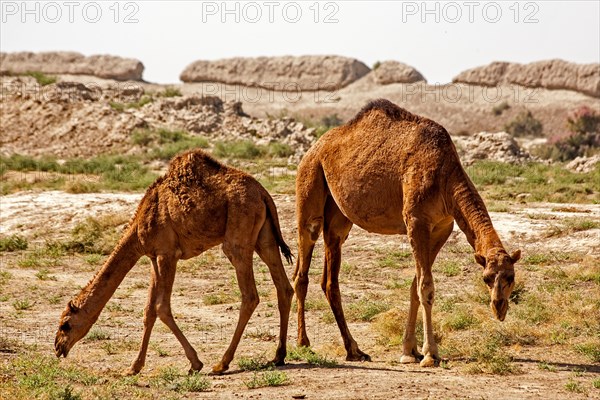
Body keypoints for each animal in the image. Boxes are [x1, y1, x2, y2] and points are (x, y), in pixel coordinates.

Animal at [55, 149, 294, 376]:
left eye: (65, 324)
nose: (58, 347)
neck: (139, 227)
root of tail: (263, 193)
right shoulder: (154, 256)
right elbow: (149, 310)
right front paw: (133, 367)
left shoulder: (166, 254)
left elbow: (161, 307)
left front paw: (195, 363)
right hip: (264, 237)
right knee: (283, 287)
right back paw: (278, 356)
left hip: (238, 235)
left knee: (250, 295)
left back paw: (221, 363)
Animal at [296, 99, 520, 366]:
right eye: (486, 278)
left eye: (511, 277)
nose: (499, 307)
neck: (445, 176)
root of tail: (313, 149)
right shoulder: (416, 221)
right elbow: (426, 286)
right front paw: (430, 354)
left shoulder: (441, 228)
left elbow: (416, 285)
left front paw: (409, 350)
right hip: (310, 185)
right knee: (303, 269)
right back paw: (303, 343)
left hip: (339, 219)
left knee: (329, 278)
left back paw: (354, 350)